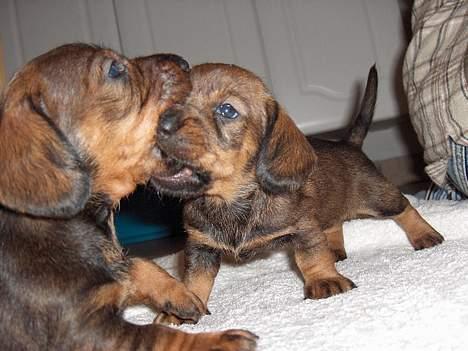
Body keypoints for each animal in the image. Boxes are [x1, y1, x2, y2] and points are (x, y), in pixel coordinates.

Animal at [0, 45, 256, 350]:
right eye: (114, 70)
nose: (184, 62)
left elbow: (138, 264)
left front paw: (180, 293)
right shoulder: (85, 330)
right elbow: (158, 335)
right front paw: (221, 340)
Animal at [153, 63, 446, 324]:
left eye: (227, 110)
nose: (160, 125)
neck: (230, 201)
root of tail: (349, 144)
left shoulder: (303, 228)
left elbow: (310, 256)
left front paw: (325, 279)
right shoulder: (200, 247)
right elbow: (194, 281)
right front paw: (181, 308)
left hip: (378, 198)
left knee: (404, 207)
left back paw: (424, 234)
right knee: (333, 223)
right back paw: (335, 249)